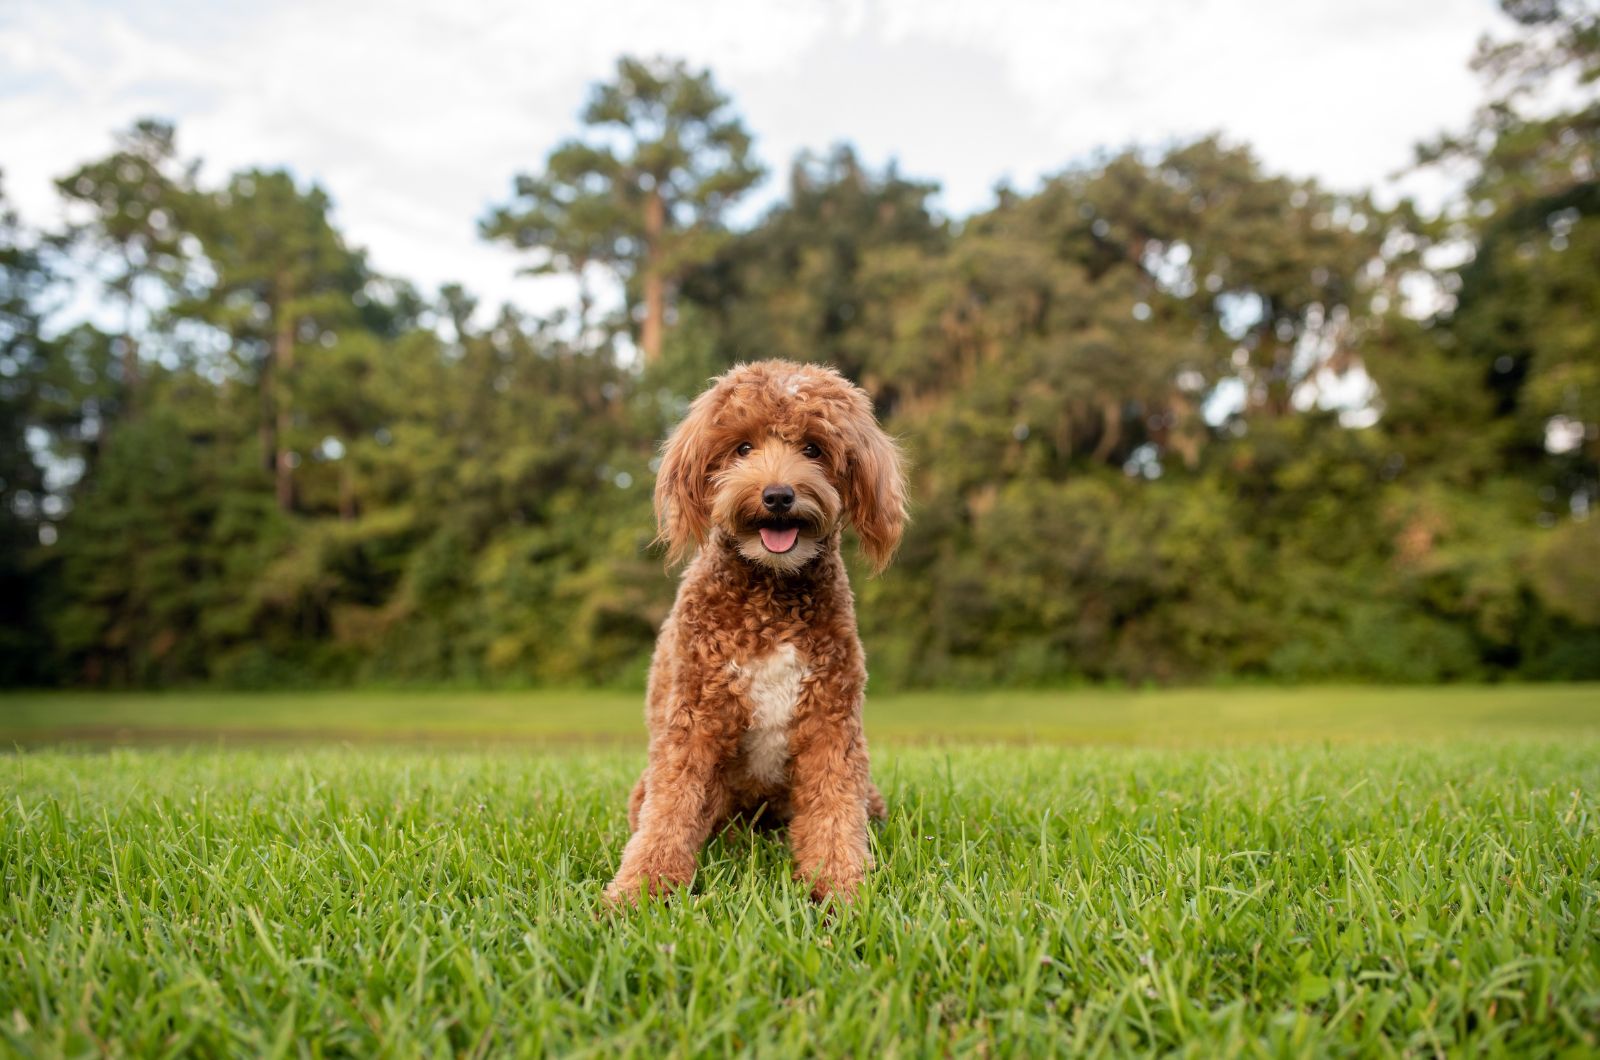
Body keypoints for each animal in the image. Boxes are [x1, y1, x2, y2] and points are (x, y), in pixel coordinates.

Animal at [601, 363, 908, 903]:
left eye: (813, 448)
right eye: (743, 447)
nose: (778, 495)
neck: (771, 596)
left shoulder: (829, 723)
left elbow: (833, 812)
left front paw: (840, 888)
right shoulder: (694, 720)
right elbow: (670, 812)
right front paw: (642, 891)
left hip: (867, 792)